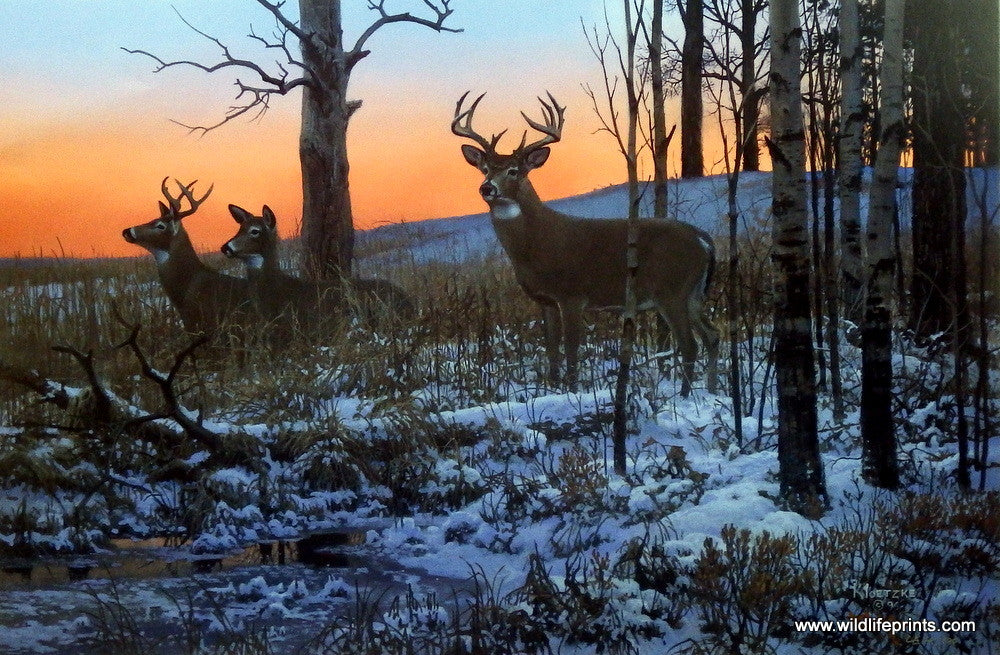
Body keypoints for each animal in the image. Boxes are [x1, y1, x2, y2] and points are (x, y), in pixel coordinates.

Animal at [452, 91, 720, 396]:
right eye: (484, 169)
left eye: (513, 171)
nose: (487, 188)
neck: (537, 245)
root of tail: (703, 239)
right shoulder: (545, 300)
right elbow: (552, 353)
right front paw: (554, 390)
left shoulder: (572, 294)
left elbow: (570, 351)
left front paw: (571, 392)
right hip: (693, 294)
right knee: (713, 336)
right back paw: (712, 391)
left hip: (672, 291)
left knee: (690, 344)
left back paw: (685, 397)